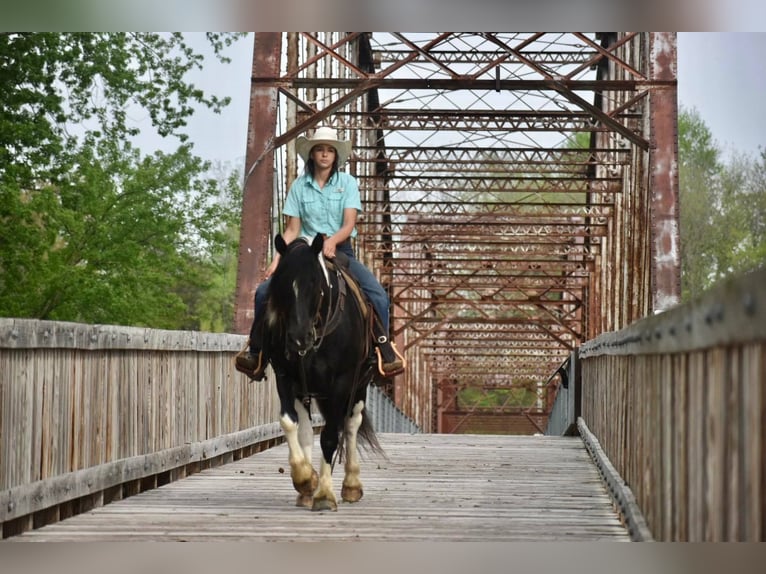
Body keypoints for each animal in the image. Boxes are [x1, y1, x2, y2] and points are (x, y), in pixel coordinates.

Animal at [264, 234, 384, 512]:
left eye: (315, 282)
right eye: (281, 283)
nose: (299, 338)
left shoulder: (342, 382)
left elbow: (330, 436)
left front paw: (325, 494)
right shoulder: (287, 378)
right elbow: (291, 423)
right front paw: (306, 479)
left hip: (359, 385)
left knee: (351, 425)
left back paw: (351, 485)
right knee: (310, 429)